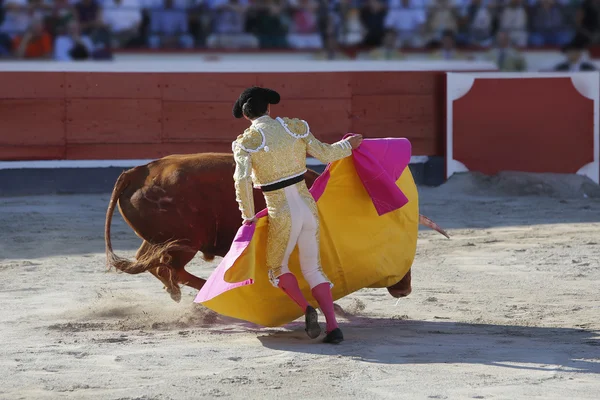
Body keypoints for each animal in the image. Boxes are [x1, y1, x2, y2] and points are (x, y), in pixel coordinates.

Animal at [105, 153, 448, 304]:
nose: (405, 289)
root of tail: (138, 171)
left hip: (162, 239)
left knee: (155, 264)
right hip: (187, 239)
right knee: (170, 266)